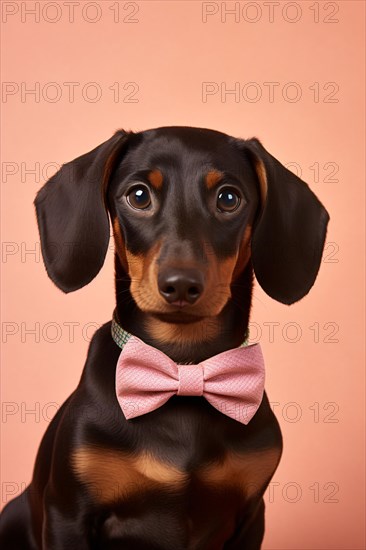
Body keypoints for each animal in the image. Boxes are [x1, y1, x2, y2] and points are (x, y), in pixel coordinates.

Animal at [0, 127, 328, 548]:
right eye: (139, 195)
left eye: (228, 198)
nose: (182, 284)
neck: (182, 367)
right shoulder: (67, 514)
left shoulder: (251, 516)